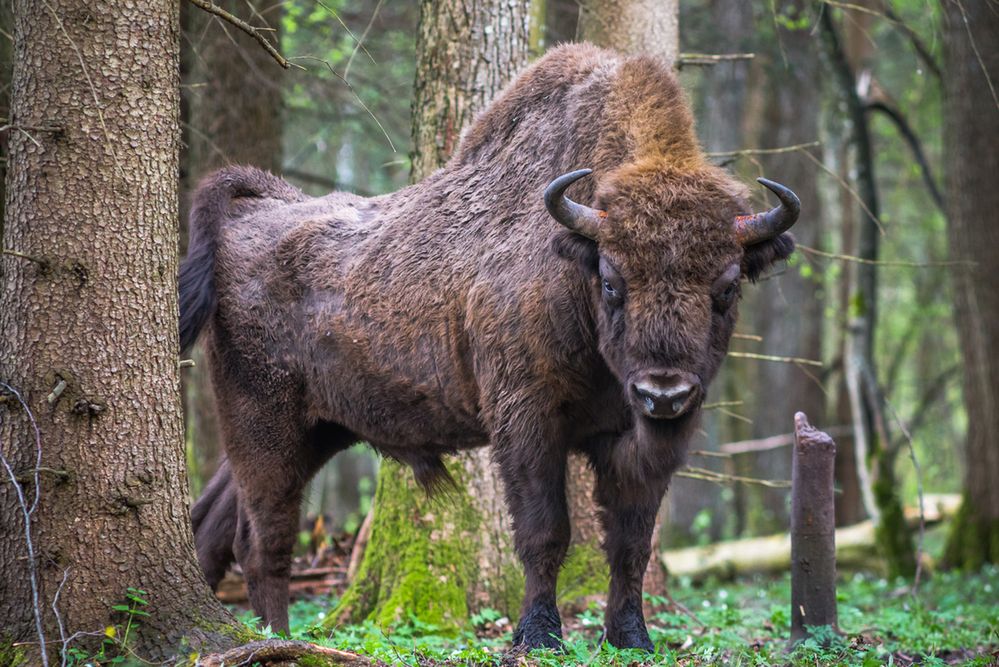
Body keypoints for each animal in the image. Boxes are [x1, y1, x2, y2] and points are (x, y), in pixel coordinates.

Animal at [184, 45, 800, 652]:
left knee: (218, 523)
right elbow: (544, 532)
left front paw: (632, 638)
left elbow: (631, 542)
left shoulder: (634, 440)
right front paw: (539, 636)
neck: (570, 263)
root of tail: (251, 214)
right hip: (265, 429)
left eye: (727, 286)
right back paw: (277, 640)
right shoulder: (527, 424)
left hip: (315, 431)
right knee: (264, 540)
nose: (663, 392)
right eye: (610, 280)